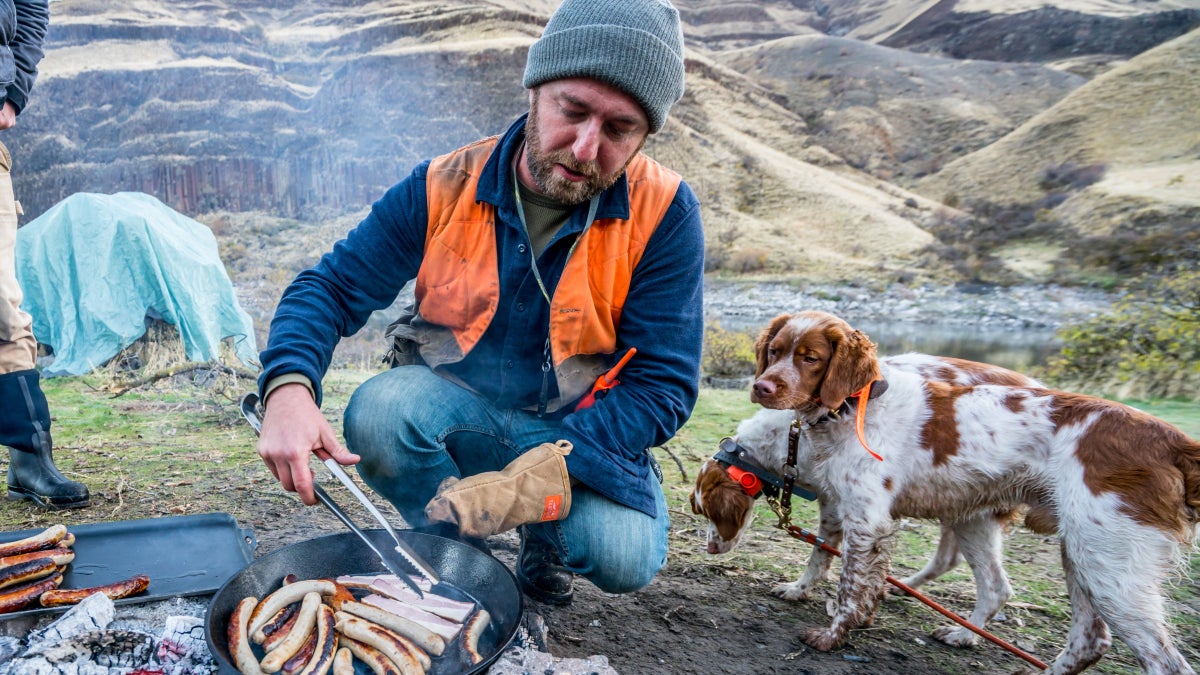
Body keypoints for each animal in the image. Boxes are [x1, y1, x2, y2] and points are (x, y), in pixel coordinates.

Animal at [691, 348, 1036, 643]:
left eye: (711, 513)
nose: (709, 548)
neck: (794, 437)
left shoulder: (859, 508)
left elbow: (839, 565)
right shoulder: (837, 504)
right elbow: (826, 557)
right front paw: (804, 590)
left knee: (986, 582)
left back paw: (960, 632)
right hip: (964, 513)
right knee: (975, 574)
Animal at [748, 309, 1200, 672]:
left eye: (811, 358)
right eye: (774, 350)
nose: (762, 388)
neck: (856, 405)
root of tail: (1175, 443)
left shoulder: (868, 520)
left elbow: (849, 586)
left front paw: (832, 636)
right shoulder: (841, 506)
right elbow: (824, 554)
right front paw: (802, 591)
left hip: (1109, 566)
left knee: (1164, 662)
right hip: (1070, 550)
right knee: (1082, 635)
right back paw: (968, 635)